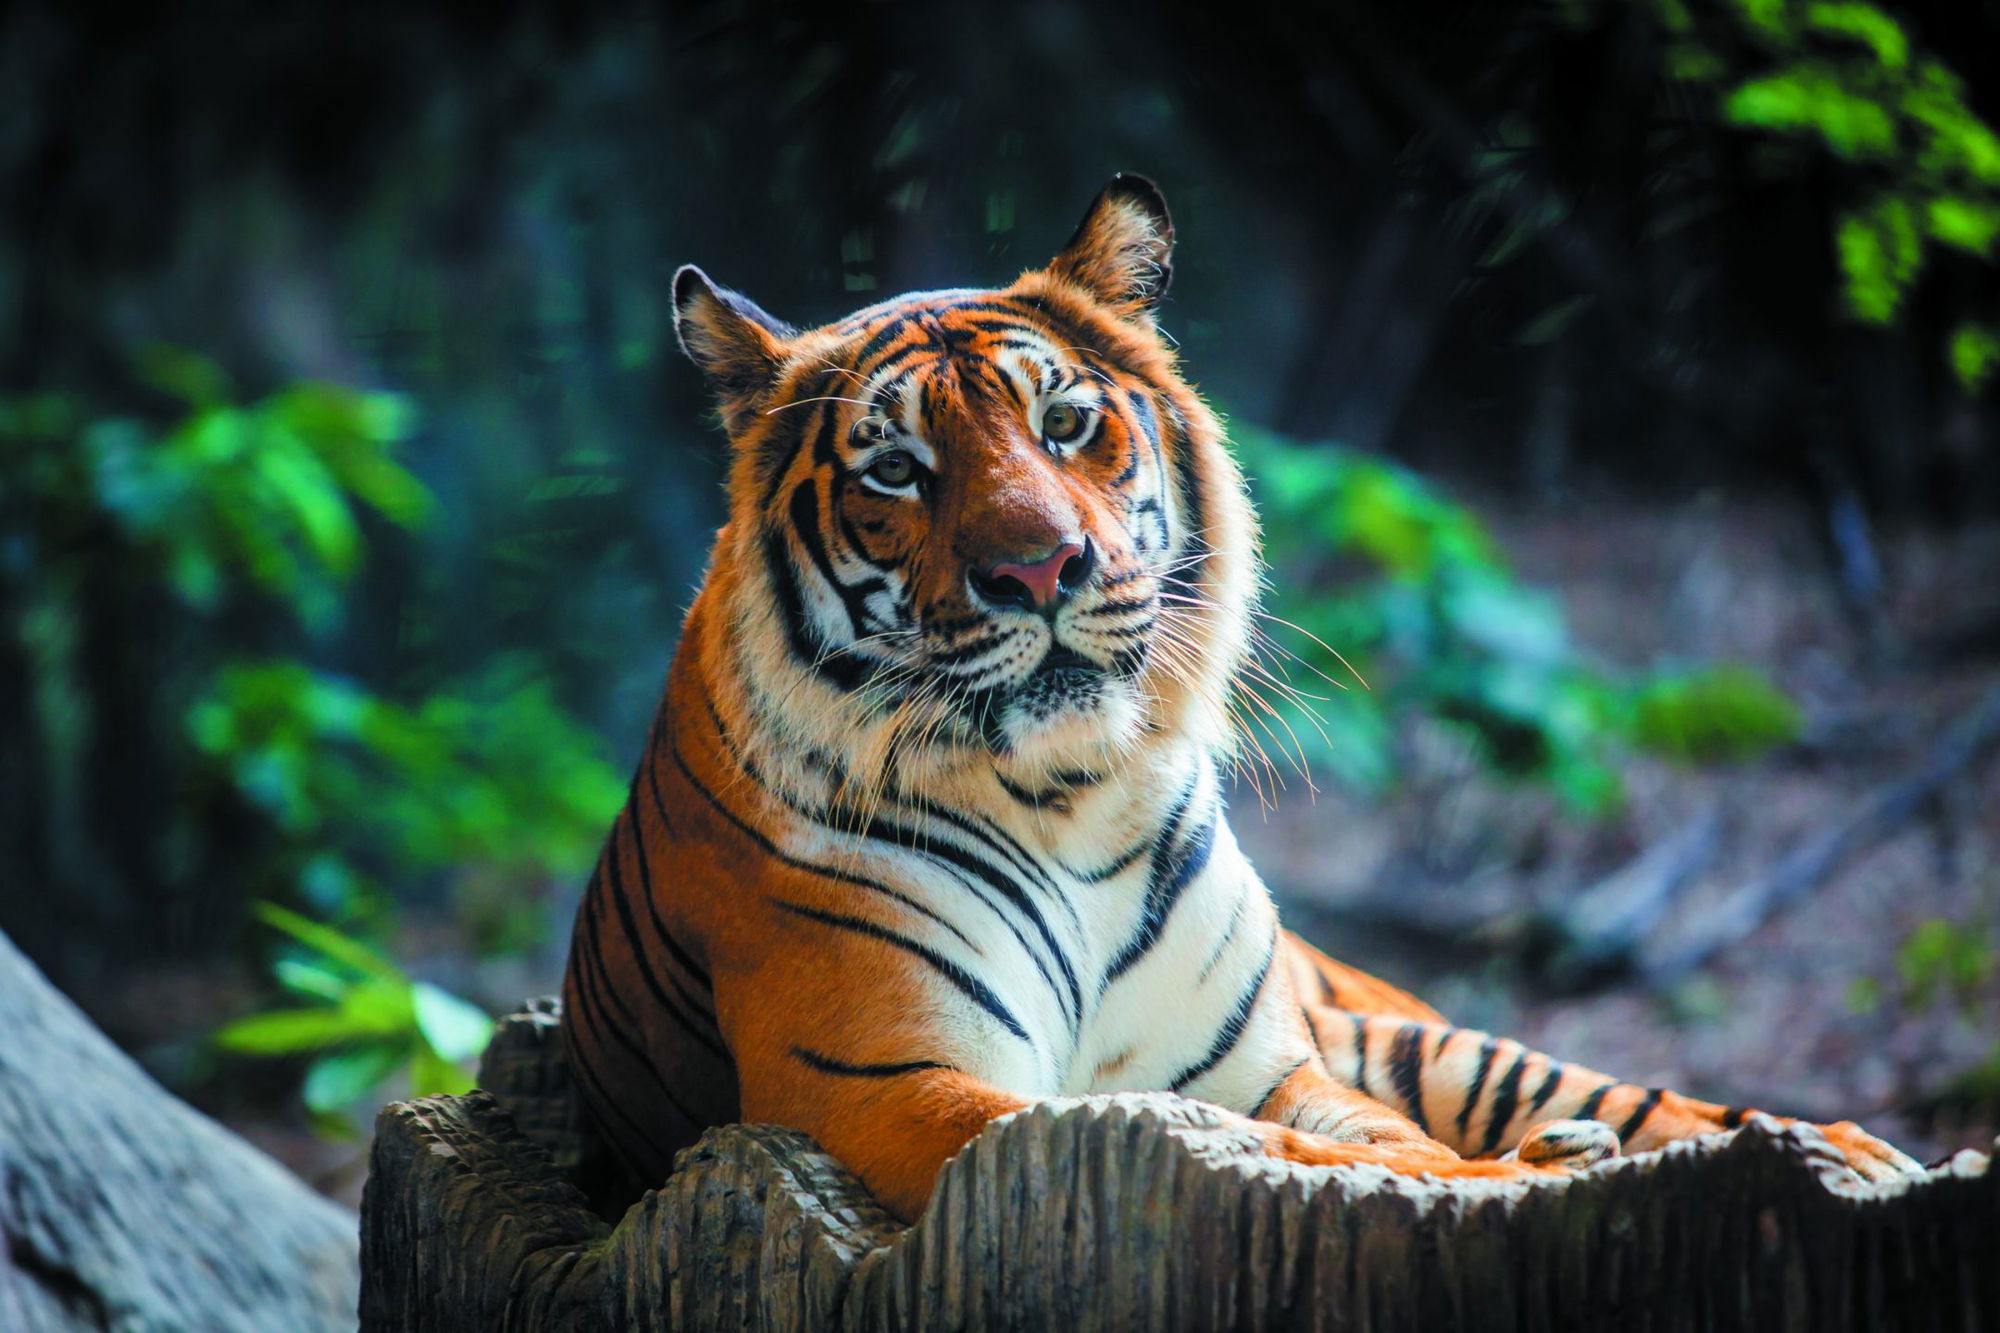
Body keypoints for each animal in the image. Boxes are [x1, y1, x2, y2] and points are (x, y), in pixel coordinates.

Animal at [559, 175, 1920, 1223]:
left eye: (1064, 423)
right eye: (896, 468)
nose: (1038, 570)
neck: (1065, 800)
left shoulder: (1266, 1061)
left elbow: (1368, 1138)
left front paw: (1513, 1167)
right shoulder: (889, 1082)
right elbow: (1317, 1152)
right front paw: (1509, 1183)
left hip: (1404, 1024)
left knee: (1613, 1091)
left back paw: (1842, 1150)